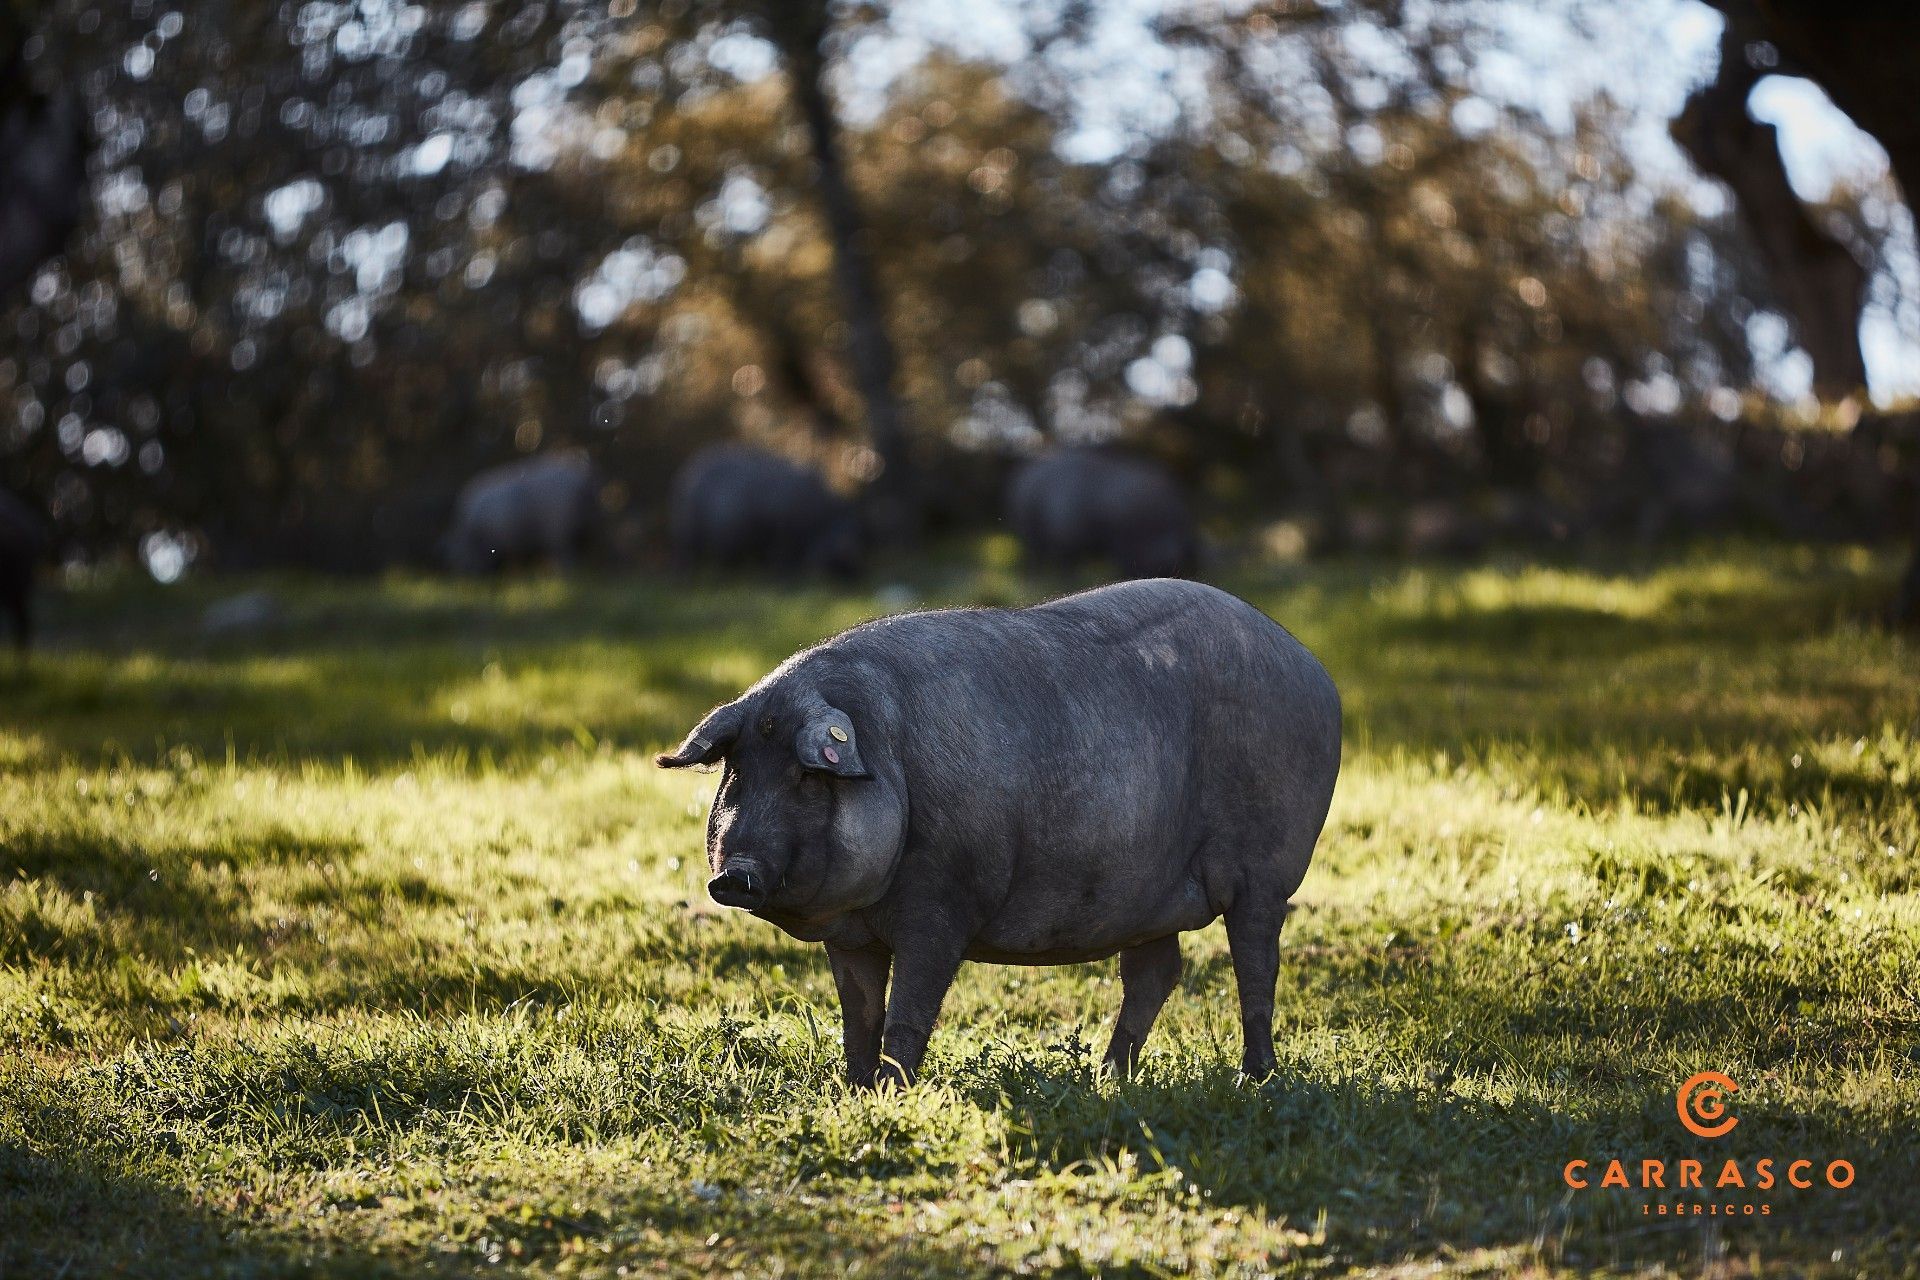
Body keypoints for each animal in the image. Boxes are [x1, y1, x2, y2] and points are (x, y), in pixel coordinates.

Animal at [446, 451, 602, 574]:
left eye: (458, 556)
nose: (465, 577)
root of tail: (583, 479)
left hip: (560, 531)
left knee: (567, 557)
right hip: (587, 530)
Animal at [657, 577, 1341, 1086]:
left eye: (805, 776)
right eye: (737, 772)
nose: (733, 874)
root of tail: (1314, 669)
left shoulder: (944, 902)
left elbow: (910, 1008)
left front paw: (891, 1089)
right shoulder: (850, 936)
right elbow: (859, 1013)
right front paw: (851, 1088)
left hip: (1267, 870)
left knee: (1256, 959)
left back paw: (1256, 1078)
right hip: (1148, 895)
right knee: (1156, 973)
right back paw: (1108, 1078)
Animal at [669, 445, 863, 578]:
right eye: (847, 544)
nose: (859, 576)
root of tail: (686, 474)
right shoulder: (784, 536)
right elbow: (781, 561)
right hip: (686, 536)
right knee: (685, 560)